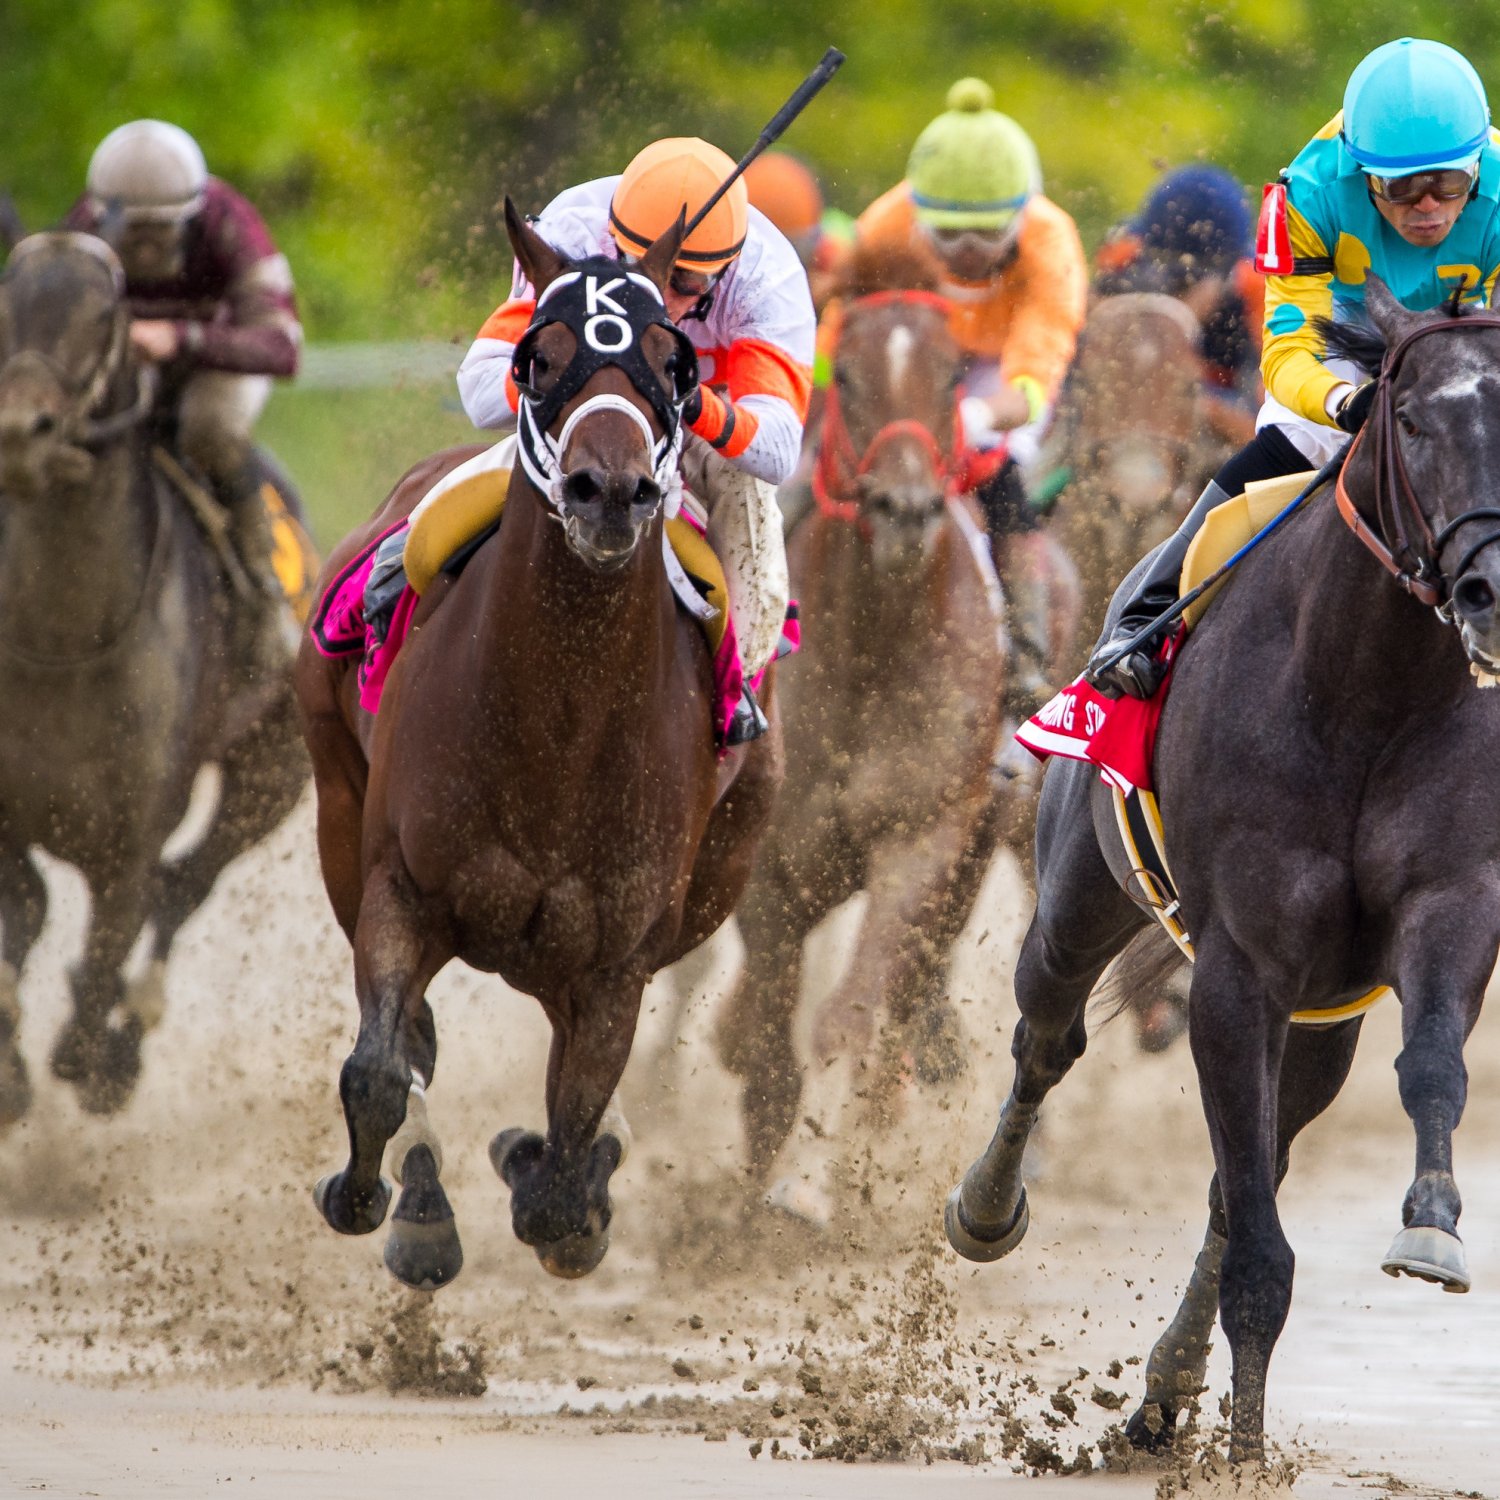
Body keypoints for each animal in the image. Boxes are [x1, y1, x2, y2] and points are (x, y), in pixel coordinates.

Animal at [0, 234, 307, 1122]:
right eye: (6, 300)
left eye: (106, 317)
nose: (21, 432)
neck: (65, 635)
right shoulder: (7, 819)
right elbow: (26, 914)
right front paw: (11, 1073)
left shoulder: (133, 835)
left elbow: (118, 931)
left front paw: (90, 1056)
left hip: (274, 771)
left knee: (187, 886)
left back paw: (124, 1043)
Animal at [297, 205, 780, 1290]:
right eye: (540, 356)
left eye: (672, 363)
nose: (610, 490)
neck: (559, 722)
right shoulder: (399, 885)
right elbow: (380, 1068)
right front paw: (381, 1200)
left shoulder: (618, 959)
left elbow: (565, 1169)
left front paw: (561, 1178)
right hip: (337, 805)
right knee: (412, 1036)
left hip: (720, 869)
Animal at [942, 282, 1500, 1464]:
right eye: (1411, 421)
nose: (1489, 587)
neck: (1366, 693)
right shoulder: (1240, 967)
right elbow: (1256, 1254)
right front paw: (1239, 1462)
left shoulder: (1450, 906)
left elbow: (1430, 1065)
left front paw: (1432, 1227)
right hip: (1078, 894)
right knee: (1046, 1033)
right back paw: (987, 1208)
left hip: (1324, 1020)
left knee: (1246, 1170)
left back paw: (1166, 1390)